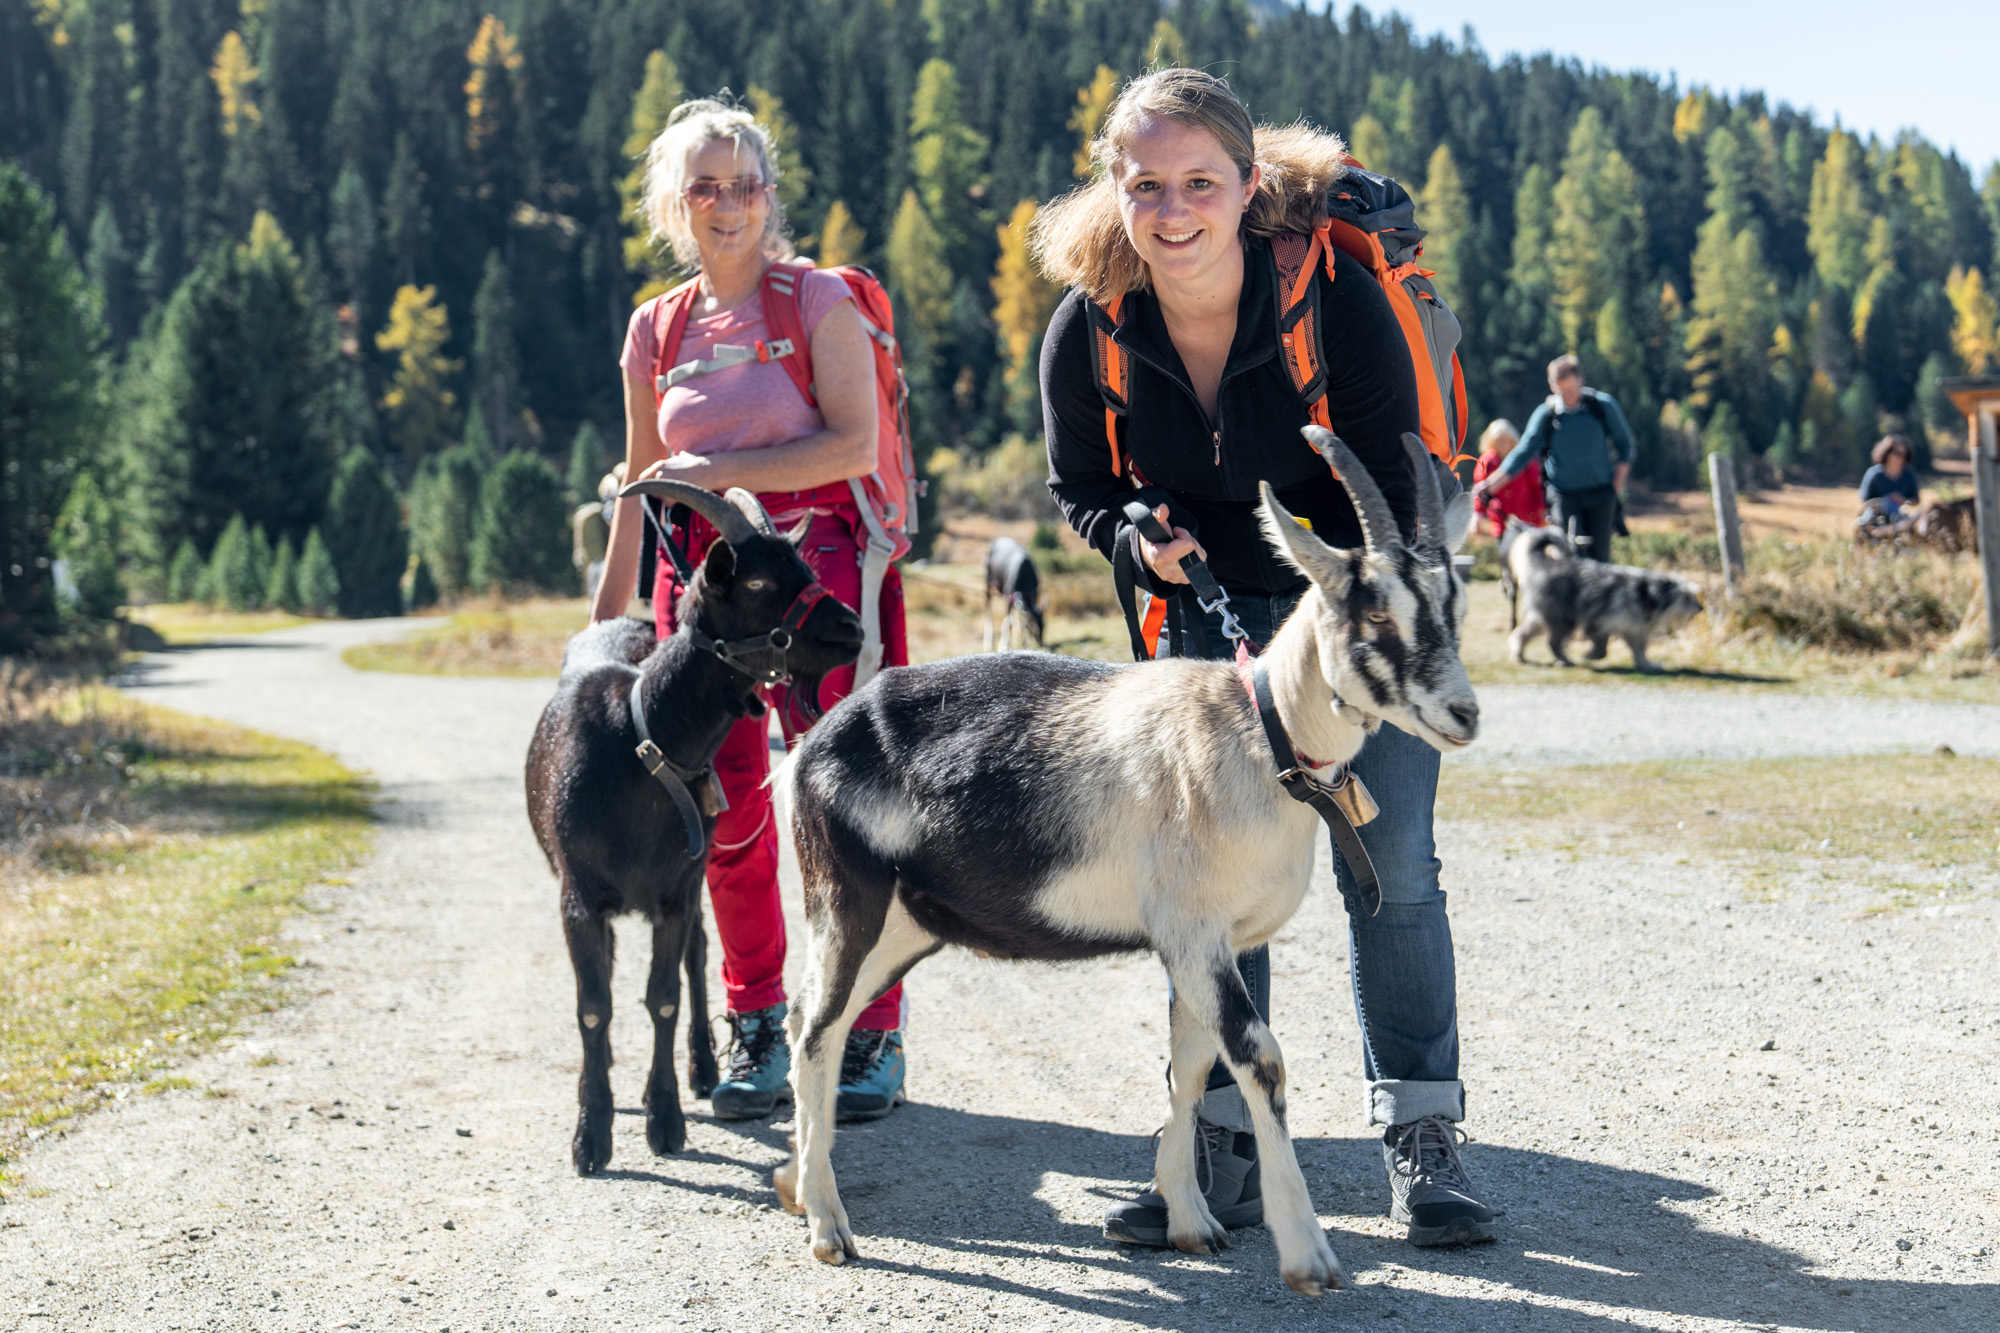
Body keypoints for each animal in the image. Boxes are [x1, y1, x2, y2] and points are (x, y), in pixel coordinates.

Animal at [524, 482, 860, 1168]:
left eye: (808, 569)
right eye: (758, 583)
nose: (853, 628)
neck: (641, 740)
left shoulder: (675, 893)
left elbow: (664, 997)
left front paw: (666, 1117)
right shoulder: (578, 897)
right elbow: (593, 1008)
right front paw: (591, 1133)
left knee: (700, 955)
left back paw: (705, 1071)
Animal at [772, 426, 1480, 1288]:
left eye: (1452, 605)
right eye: (1372, 608)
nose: (1463, 713)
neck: (1258, 730)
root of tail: (811, 745)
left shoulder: (1208, 943)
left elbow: (1191, 1063)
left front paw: (1189, 1220)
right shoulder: (1192, 931)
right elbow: (1260, 1060)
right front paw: (1308, 1254)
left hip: (904, 924)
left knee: (818, 1019)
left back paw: (801, 1188)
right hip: (845, 900)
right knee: (815, 1029)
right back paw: (828, 1227)